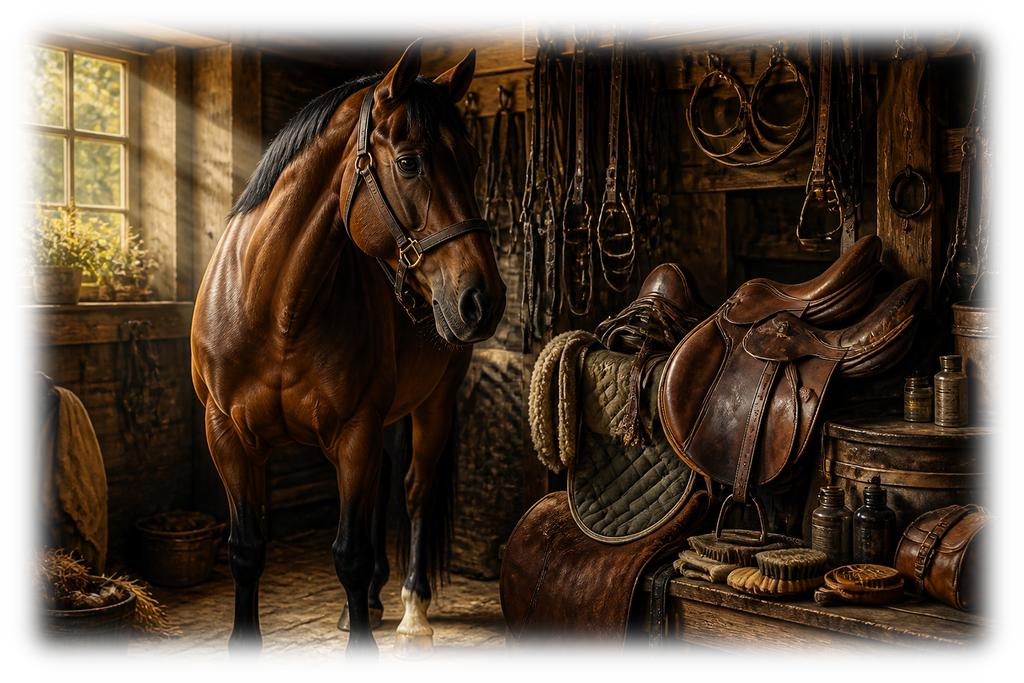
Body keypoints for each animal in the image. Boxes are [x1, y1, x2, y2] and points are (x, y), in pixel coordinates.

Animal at [190, 39, 506, 673]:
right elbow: (245, 550)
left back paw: (412, 619)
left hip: (433, 407)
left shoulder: (355, 429)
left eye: (472, 162)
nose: (483, 300)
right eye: (409, 163)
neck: (276, 307)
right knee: (386, 488)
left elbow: (350, 554)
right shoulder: (227, 435)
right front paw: (242, 650)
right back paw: (374, 605)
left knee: (414, 493)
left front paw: (365, 648)